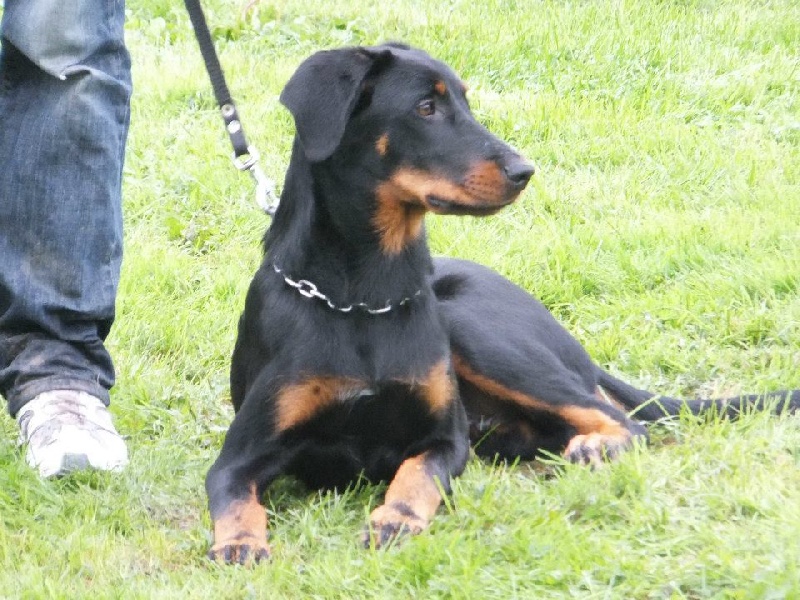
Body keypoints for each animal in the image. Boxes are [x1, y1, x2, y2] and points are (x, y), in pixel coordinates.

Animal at [208, 42, 800, 564]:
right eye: (425, 107)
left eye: (466, 102)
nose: (524, 171)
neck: (363, 298)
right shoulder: (241, 456)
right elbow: (235, 498)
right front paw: (240, 543)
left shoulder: (444, 441)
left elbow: (416, 477)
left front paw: (396, 518)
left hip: (476, 330)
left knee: (623, 420)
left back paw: (596, 446)